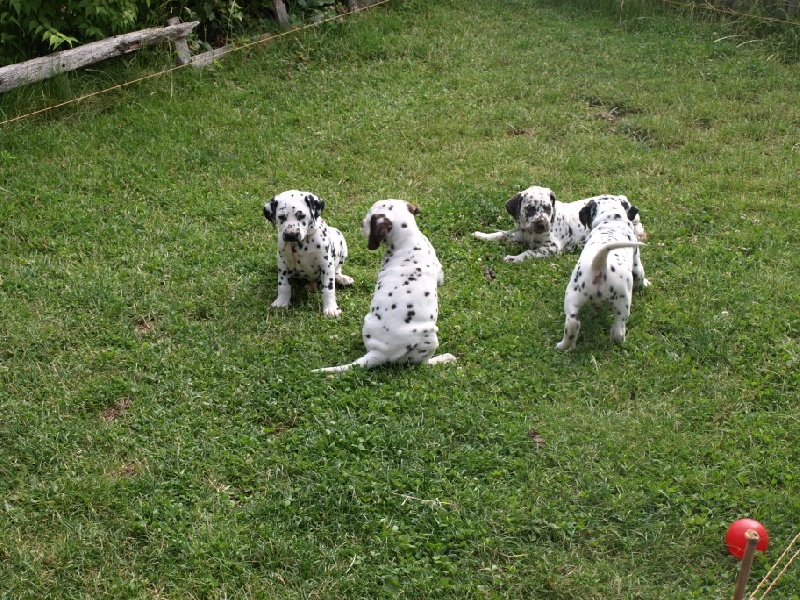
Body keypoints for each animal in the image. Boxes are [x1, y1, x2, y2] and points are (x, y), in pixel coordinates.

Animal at [312, 199, 456, 372]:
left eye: (369, 218)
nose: (361, 223)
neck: (408, 239)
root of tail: (380, 353)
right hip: (431, 338)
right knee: (423, 364)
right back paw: (444, 359)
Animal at [472, 185, 648, 262]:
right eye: (529, 209)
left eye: (547, 208)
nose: (542, 225)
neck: (530, 233)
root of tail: (621, 198)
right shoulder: (518, 233)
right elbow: (500, 234)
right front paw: (482, 235)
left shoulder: (551, 247)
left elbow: (528, 253)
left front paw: (515, 258)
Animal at [556, 196, 648, 352]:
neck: (611, 222)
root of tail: (599, 264)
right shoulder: (636, 260)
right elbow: (640, 275)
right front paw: (646, 284)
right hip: (623, 304)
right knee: (618, 331)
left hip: (571, 297)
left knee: (572, 323)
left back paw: (564, 346)